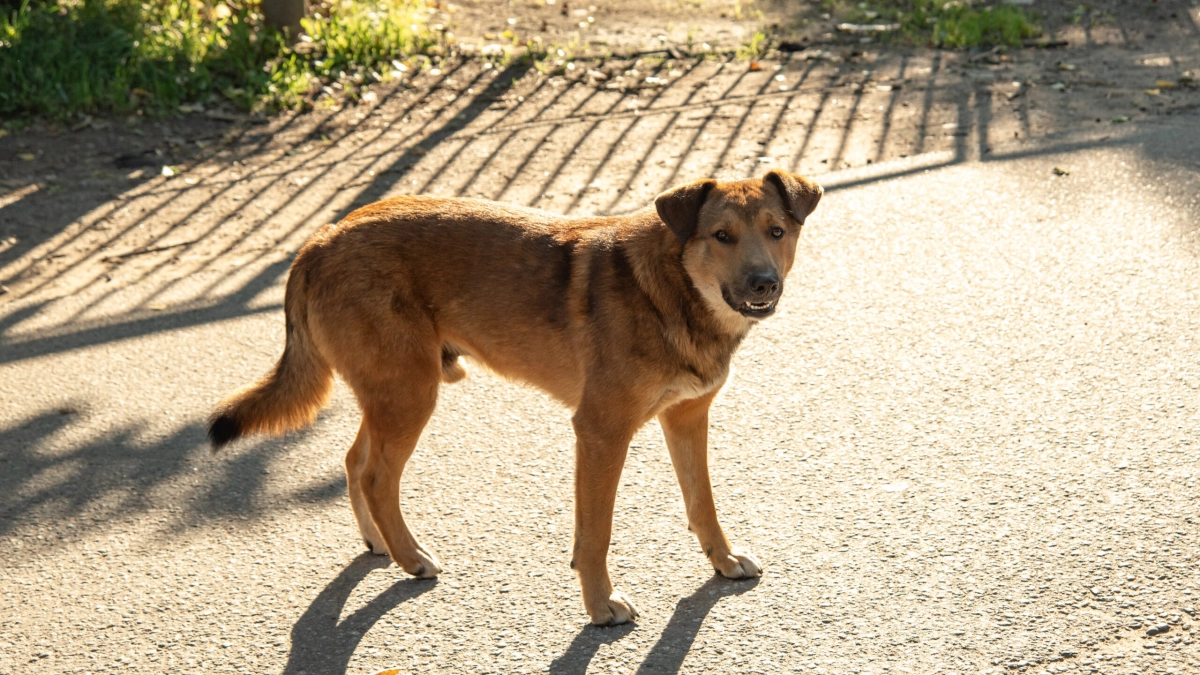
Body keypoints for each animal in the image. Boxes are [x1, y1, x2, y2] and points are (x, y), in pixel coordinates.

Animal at [211, 170, 820, 624]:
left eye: (775, 231)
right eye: (721, 236)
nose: (764, 283)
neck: (671, 290)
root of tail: (322, 237)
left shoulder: (687, 419)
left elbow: (702, 504)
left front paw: (723, 560)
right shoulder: (600, 433)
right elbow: (596, 534)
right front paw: (600, 606)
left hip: (394, 393)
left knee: (354, 461)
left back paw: (379, 543)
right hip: (410, 395)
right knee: (377, 476)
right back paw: (411, 558)